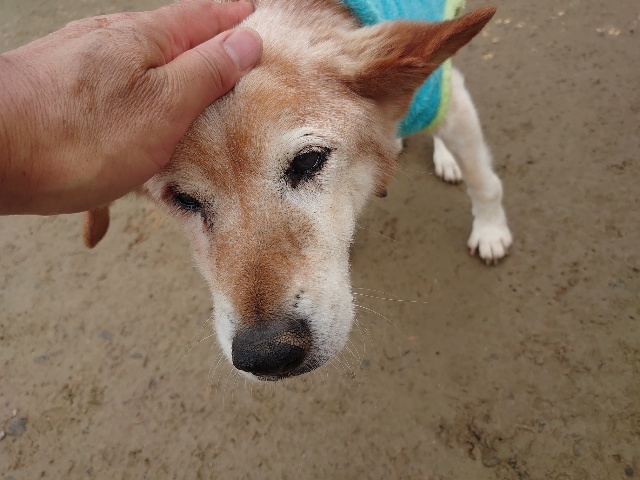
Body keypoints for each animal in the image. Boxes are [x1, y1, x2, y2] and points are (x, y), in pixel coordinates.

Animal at [84, 0, 512, 381]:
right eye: (183, 199)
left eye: (308, 161)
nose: (268, 354)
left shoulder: (448, 104)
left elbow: (485, 183)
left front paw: (490, 231)